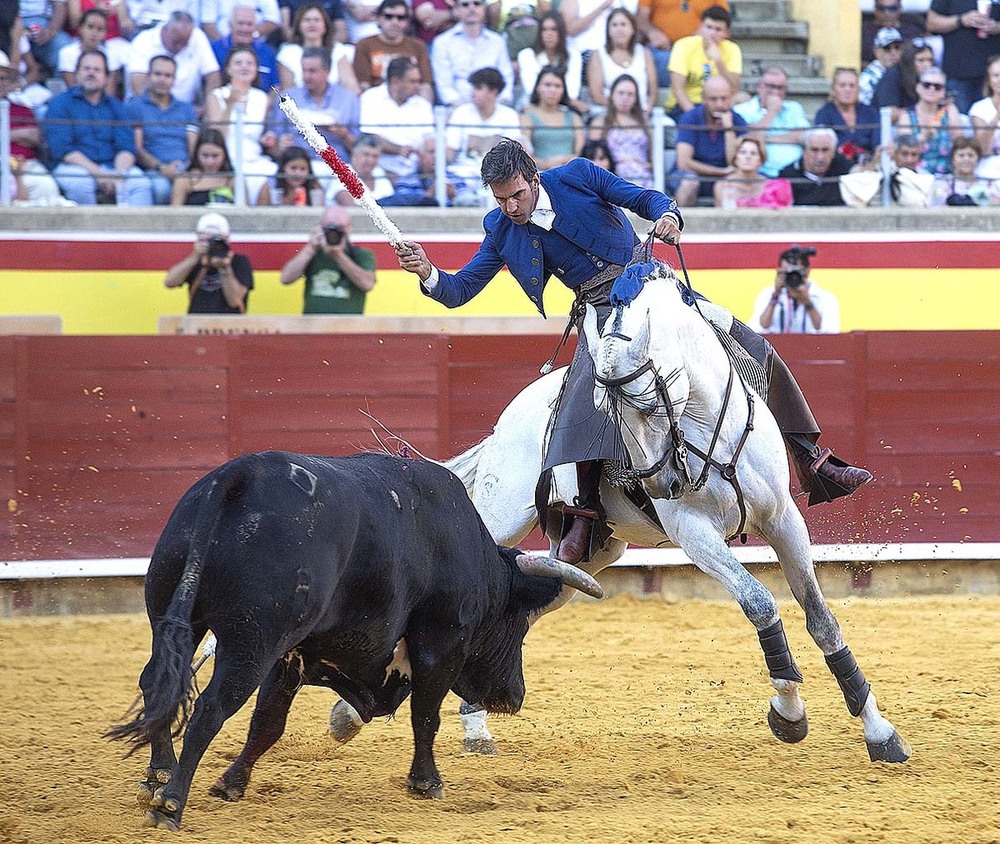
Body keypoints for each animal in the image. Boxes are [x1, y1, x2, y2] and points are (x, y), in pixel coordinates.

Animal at [107, 454, 600, 832]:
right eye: (519, 625)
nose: (514, 696)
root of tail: (240, 475)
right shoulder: (440, 647)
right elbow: (426, 717)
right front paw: (427, 782)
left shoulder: (290, 658)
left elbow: (267, 724)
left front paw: (233, 783)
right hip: (251, 642)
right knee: (210, 707)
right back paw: (170, 803)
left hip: (175, 617)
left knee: (156, 685)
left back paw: (157, 777)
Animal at [332, 264, 912, 764]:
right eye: (605, 409)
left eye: (650, 397)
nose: (660, 482)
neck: (708, 428)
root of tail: (505, 423)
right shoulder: (694, 533)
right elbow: (760, 603)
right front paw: (788, 713)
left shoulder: (784, 520)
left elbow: (821, 618)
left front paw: (879, 732)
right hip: (502, 516)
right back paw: (371, 710)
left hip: (593, 551)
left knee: (522, 595)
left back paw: (452, 717)